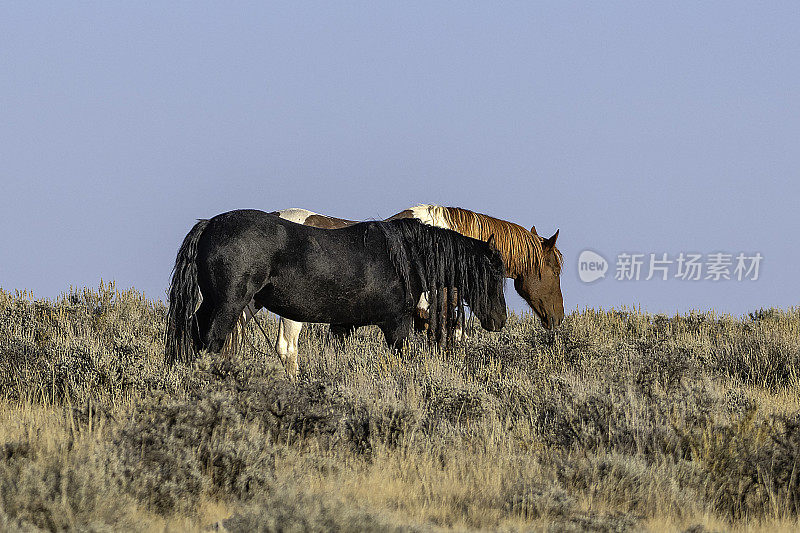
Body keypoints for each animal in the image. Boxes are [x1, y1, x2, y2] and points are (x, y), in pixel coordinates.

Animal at [166, 208, 506, 374]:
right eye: (493, 275)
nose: (499, 320)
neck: (407, 257)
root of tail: (209, 224)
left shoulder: (344, 324)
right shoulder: (396, 324)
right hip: (229, 304)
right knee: (212, 340)